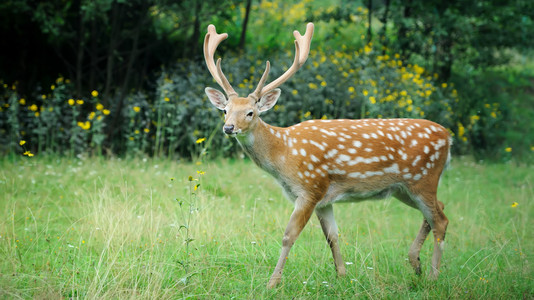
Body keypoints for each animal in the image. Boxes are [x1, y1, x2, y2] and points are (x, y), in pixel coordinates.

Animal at [204, 22, 452, 290]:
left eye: (250, 112)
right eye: (225, 110)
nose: (229, 128)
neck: (284, 153)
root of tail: (448, 138)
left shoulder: (310, 188)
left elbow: (288, 236)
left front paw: (272, 283)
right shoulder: (325, 198)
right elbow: (332, 236)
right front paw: (342, 276)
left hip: (423, 179)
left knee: (440, 219)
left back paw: (433, 276)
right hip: (402, 188)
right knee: (438, 210)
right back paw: (415, 263)